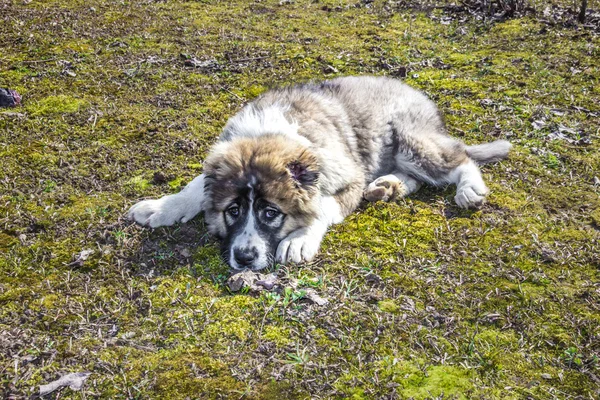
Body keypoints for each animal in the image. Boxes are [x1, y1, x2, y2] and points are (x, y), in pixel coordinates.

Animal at [126, 76, 510, 268]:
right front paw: (163, 207)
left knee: (459, 158)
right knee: (415, 178)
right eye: (232, 211)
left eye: (271, 213)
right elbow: (197, 183)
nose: (244, 258)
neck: (267, 135)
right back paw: (387, 186)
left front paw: (299, 240)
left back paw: (469, 190)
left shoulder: (348, 178)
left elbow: (321, 206)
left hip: (410, 140)